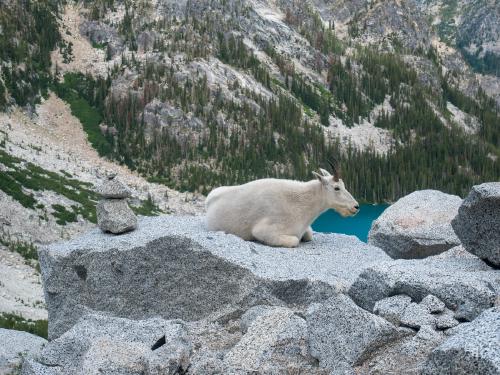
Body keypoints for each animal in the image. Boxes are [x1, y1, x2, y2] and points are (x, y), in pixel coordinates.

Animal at [204, 161, 360, 247]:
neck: (302, 204)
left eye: (343, 185)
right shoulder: (264, 230)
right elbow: (295, 240)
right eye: (336, 188)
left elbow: (309, 234)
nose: (356, 207)